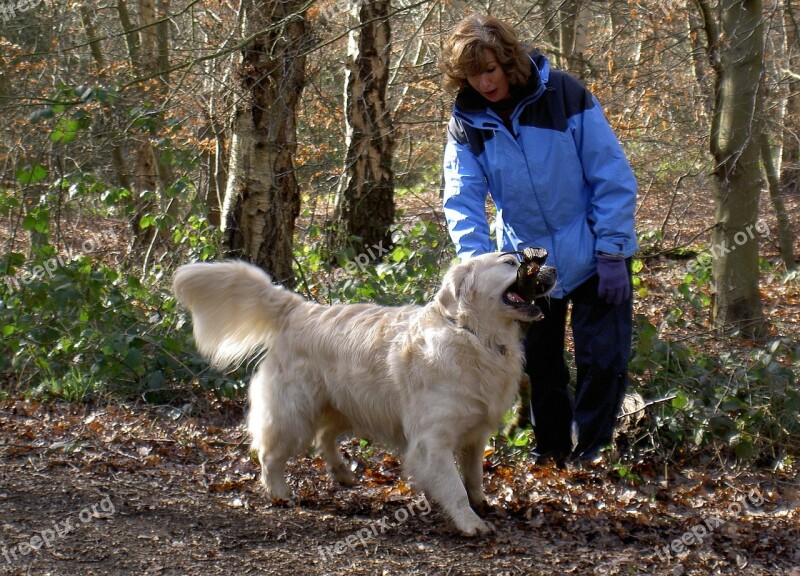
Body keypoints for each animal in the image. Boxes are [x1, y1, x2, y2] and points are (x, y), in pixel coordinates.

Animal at [172, 253, 552, 536]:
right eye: (509, 261)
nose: (552, 268)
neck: (473, 336)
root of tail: (299, 308)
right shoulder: (433, 440)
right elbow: (455, 487)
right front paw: (470, 522)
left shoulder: (475, 433)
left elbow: (473, 476)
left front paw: (481, 503)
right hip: (296, 412)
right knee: (271, 452)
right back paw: (280, 492)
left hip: (352, 405)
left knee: (325, 437)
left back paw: (342, 472)